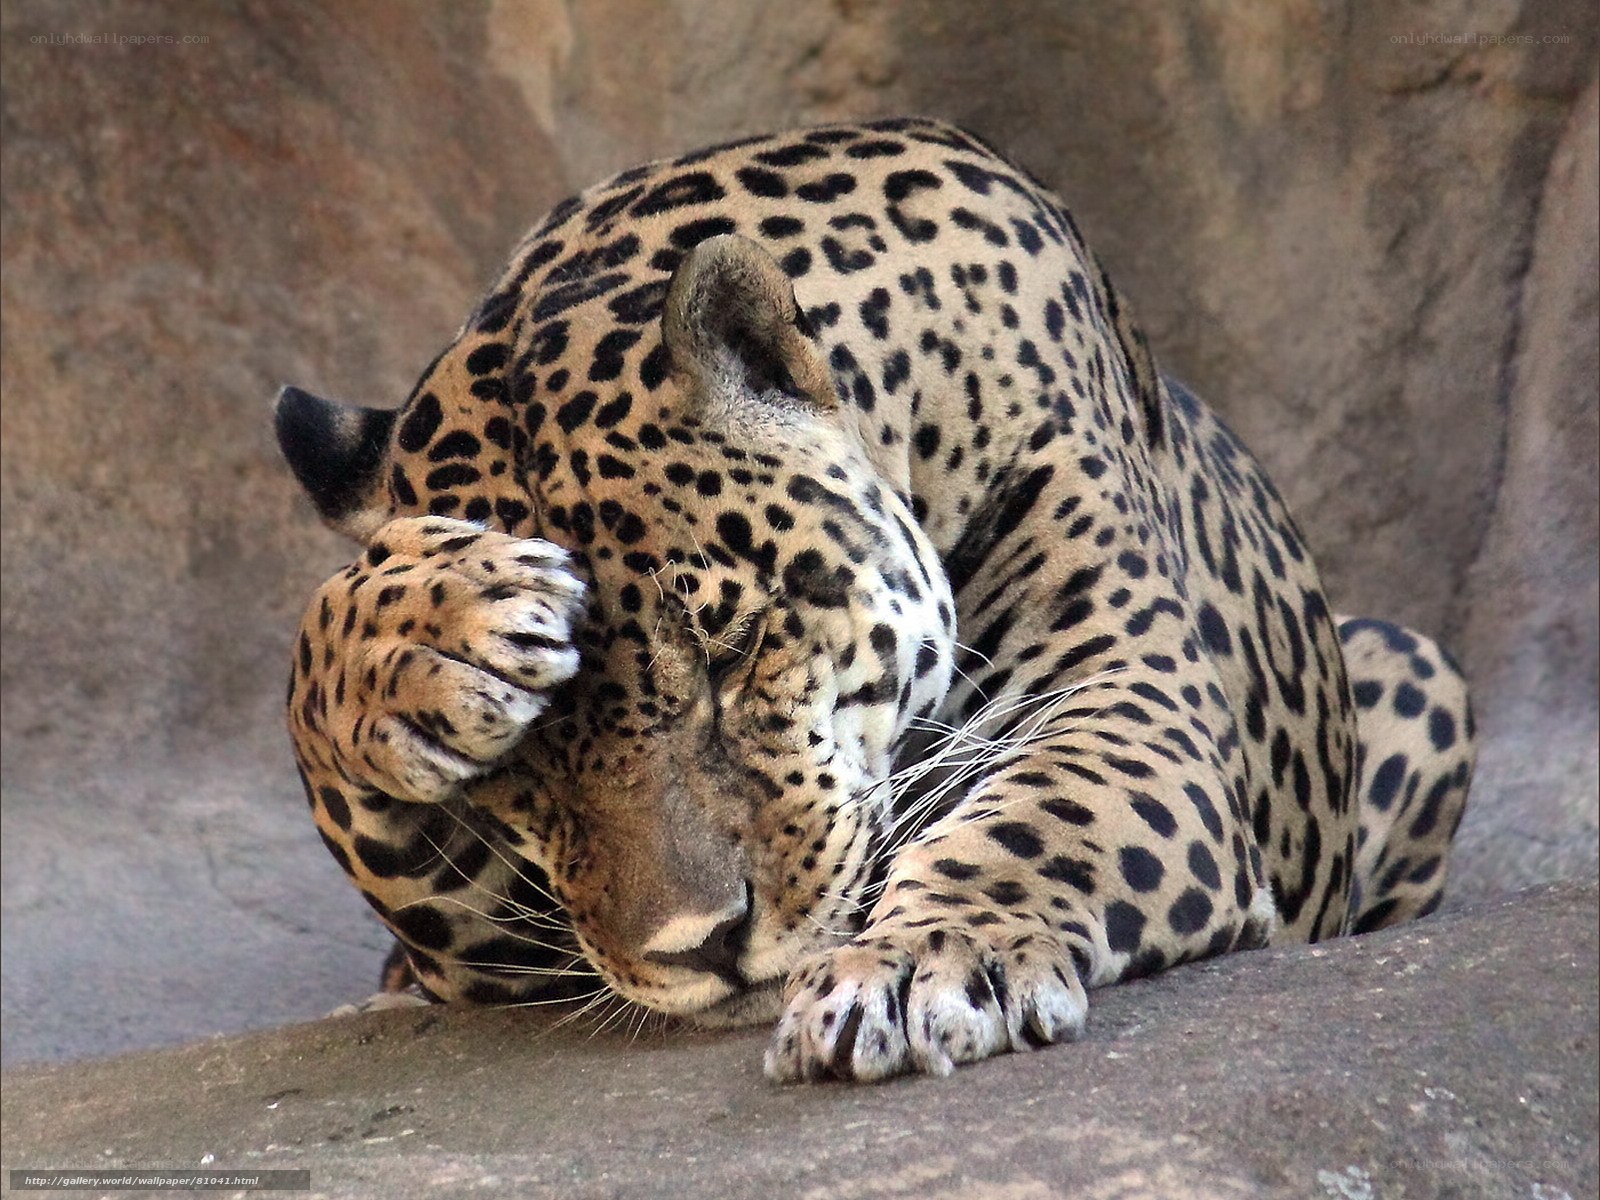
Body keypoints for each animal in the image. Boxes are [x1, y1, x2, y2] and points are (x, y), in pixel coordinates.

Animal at [275, 117, 1475, 1082]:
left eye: (733, 644)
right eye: (517, 771)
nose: (705, 945)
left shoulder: (1122, 689)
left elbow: (1036, 825)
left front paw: (918, 964)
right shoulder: (494, 945)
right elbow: (313, 669)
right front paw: (426, 625)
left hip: (1415, 666)